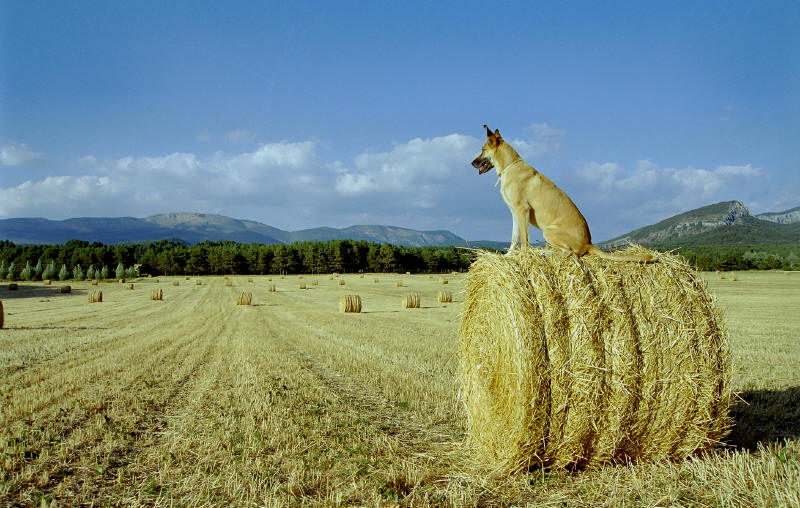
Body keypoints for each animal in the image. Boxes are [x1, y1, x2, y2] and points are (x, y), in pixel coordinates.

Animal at [472, 125, 652, 264]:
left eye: (482, 150)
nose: (471, 163)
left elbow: (524, 240)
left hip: (549, 231)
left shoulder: (522, 210)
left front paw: (524, 256)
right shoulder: (515, 213)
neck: (510, 165)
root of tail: (589, 243)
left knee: (570, 253)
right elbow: (514, 238)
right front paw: (509, 256)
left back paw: (545, 253)